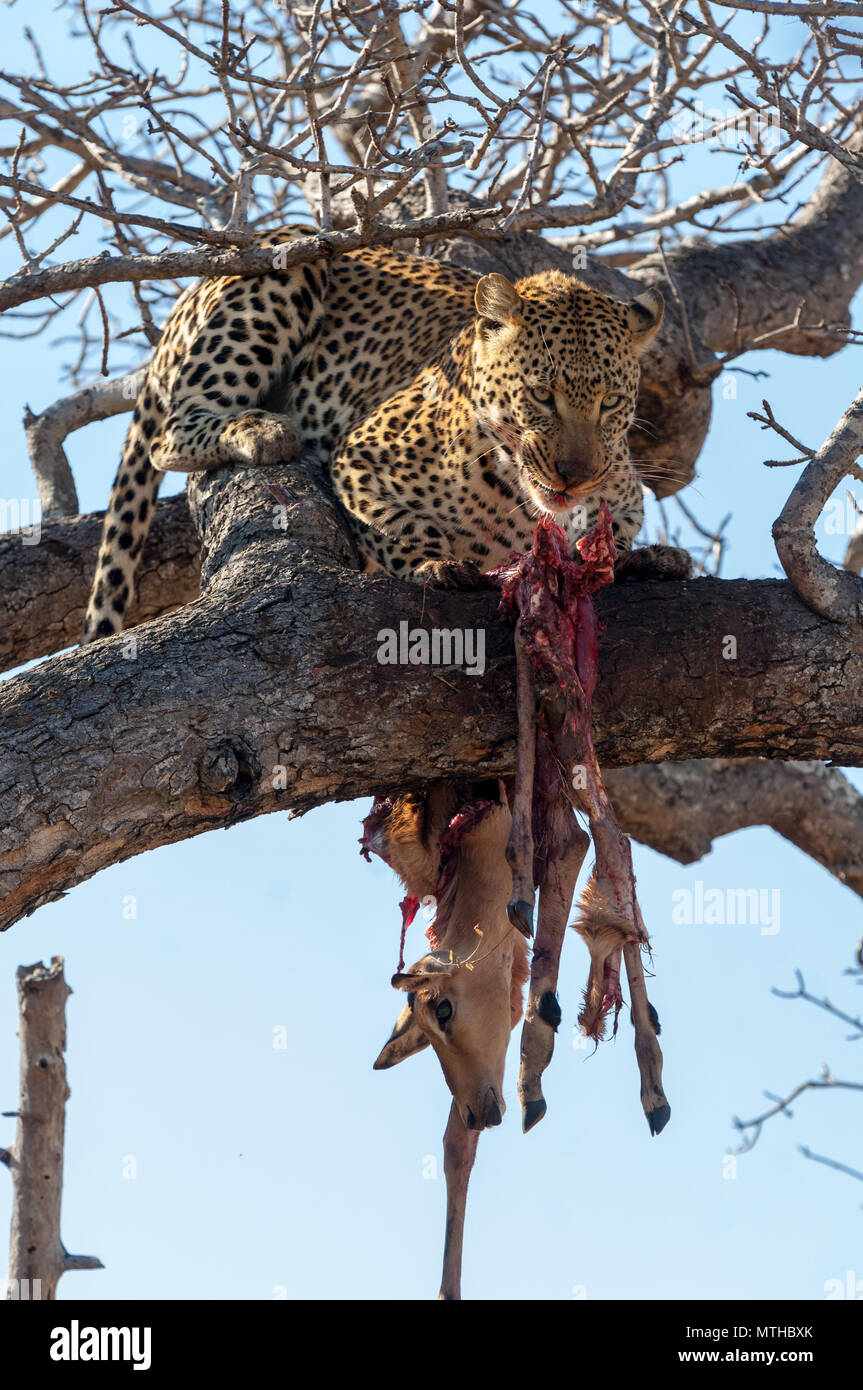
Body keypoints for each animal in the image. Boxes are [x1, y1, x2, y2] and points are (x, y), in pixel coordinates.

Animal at [82, 225, 689, 642]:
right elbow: (395, 527)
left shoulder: (623, 491)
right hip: (284, 270)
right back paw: (264, 430)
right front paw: (434, 563)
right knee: (168, 438)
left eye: (610, 403)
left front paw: (640, 558)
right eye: (542, 395)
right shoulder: (359, 457)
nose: (573, 477)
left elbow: (615, 530)